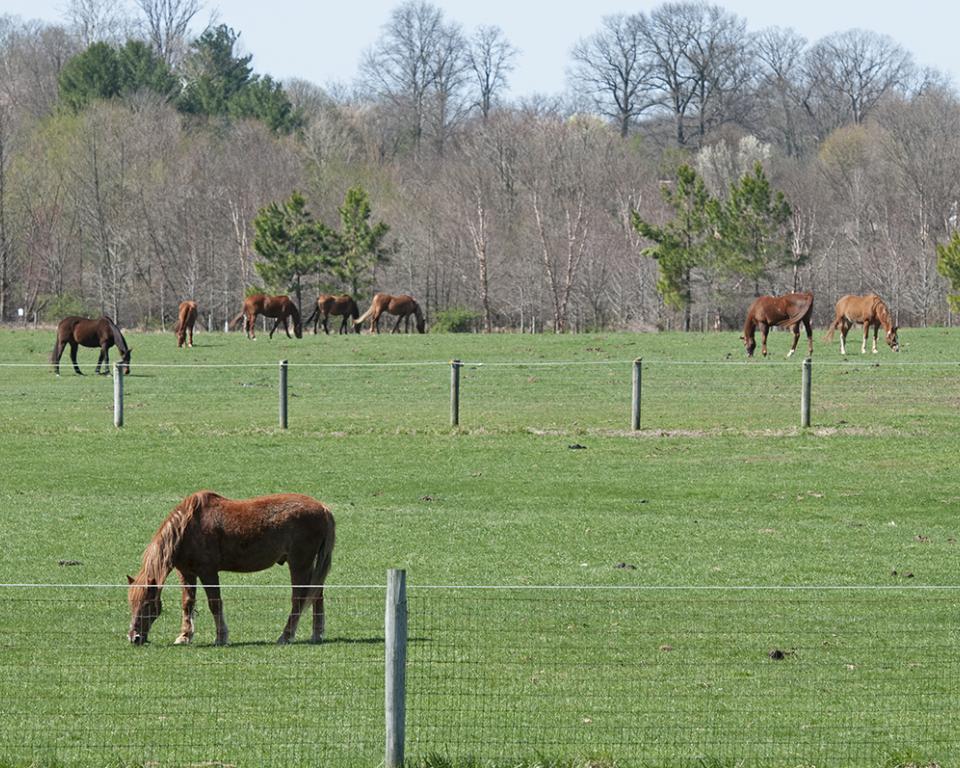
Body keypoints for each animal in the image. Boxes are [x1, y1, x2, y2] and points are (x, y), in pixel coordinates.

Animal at [126, 488, 338, 644]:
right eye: (131, 603)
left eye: (146, 604)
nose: (134, 638)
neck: (186, 528)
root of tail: (323, 508)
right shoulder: (186, 573)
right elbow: (188, 603)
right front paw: (184, 636)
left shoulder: (208, 572)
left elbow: (215, 603)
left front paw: (221, 637)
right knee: (317, 595)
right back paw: (316, 634)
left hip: (300, 564)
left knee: (299, 598)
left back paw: (285, 636)